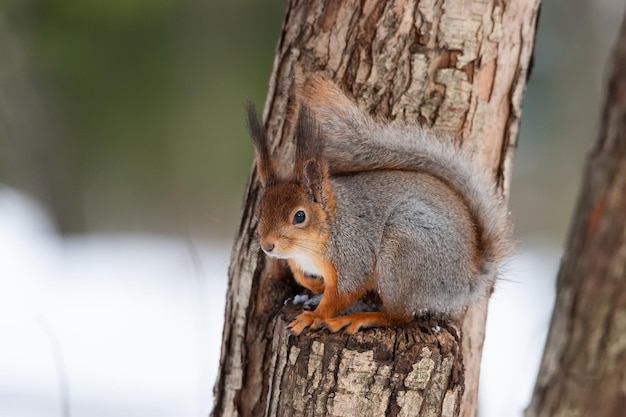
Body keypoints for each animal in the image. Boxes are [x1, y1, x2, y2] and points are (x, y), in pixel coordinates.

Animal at [245, 75, 512, 334]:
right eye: (259, 213)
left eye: (300, 216)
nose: (267, 246)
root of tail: (466, 281)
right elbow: (301, 277)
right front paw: (315, 284)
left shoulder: (353, 255)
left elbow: (343, 293)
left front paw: (314, 316)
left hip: (403, 251)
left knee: (400, 316)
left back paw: (360, 318)